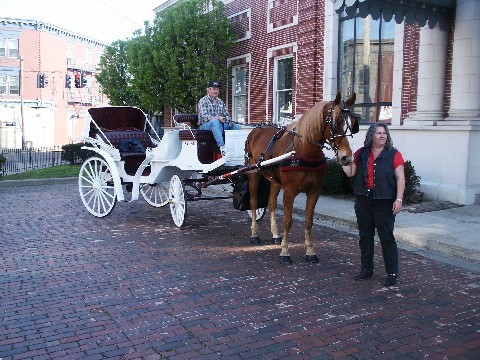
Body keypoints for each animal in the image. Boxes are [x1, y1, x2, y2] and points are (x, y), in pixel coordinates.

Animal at [248, 91, 356, 262]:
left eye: (352, 123)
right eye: (336, 122)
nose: (346, 157)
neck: (304, 150)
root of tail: (257, 129)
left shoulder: (314, 191)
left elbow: (308, 221)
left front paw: (310, 251)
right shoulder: (289, 191)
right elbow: (288, 221)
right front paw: (285, 252)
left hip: (274, 181)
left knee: (271, 204)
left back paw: (275, 234)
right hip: (254, 175)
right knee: (253, 203)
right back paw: (254, 233)